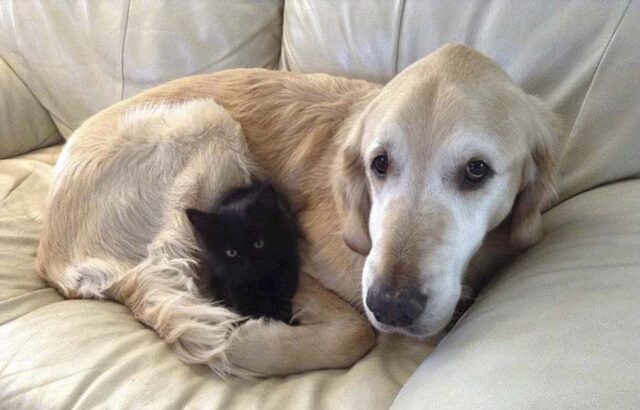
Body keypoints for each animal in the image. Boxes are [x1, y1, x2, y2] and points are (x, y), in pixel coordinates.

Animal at [186, 181, 298, 322]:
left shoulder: (289, 260)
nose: (248, 266)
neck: (258, 283)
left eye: (259, 244)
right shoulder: (229, 281)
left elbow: (283, 295)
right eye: (231, 252)